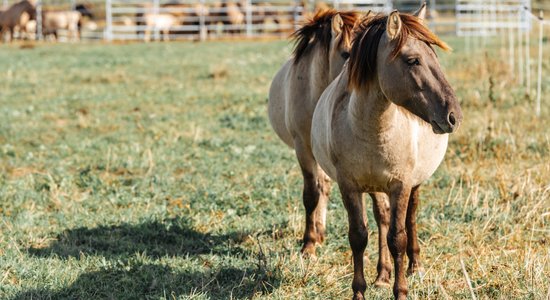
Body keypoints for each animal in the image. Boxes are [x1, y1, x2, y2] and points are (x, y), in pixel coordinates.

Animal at [312, 7, 464, 300]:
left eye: (435, 57)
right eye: (413, 60)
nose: (454, 116)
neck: (372, 127)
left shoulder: (401, 185)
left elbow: (398, 238)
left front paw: (401, 290)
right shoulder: (349, 187)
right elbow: (359, 237)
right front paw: (360, 291)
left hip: (413, 183)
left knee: (410, 217)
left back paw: (414, 266)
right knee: (381, 216)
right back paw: (382, 274)